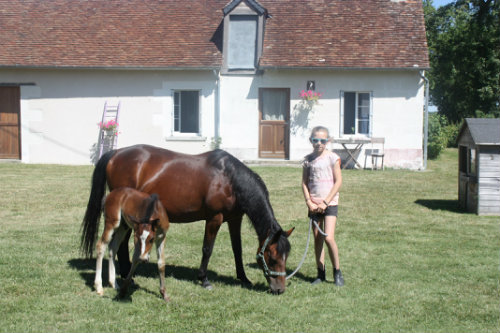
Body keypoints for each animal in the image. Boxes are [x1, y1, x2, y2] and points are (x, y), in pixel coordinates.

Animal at [81, 145, 292, 294]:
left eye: (286, 257)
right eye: (272, 258)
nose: (279, 289)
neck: (229, 178)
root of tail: (115, 153)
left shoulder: (235, 219)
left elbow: (237, 250)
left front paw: (243, 278)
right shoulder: (214, 218)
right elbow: (207, 249)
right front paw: (204, 279)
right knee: (122, 244)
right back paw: (127, 275)